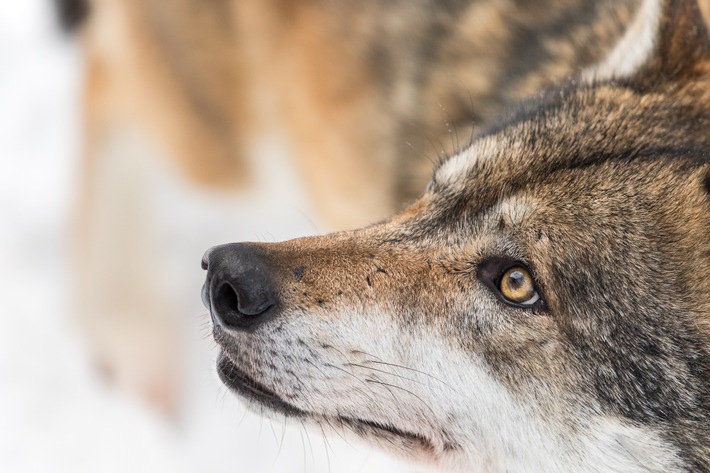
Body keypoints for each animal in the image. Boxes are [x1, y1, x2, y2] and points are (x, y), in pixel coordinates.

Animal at [58, 0, 708, 412]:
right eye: (435, 190)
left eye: (516, 283)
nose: (226, 279)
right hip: (220, 145)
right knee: (104, 77)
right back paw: (130, 339)